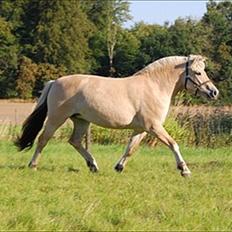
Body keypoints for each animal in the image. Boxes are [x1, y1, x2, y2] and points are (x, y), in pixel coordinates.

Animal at [15, 55, 218, 177]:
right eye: (198, 72)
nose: (213, 92)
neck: (154, 86)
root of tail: (54, 82)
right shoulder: (154, 127)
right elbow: (173, 144)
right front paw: (184, 170)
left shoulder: (142, 129)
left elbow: (130, 148)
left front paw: (119, 167)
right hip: (56, 118)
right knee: (43, 139)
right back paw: (33, 165)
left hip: (81, 120)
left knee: (75, 141)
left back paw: (93, 165)